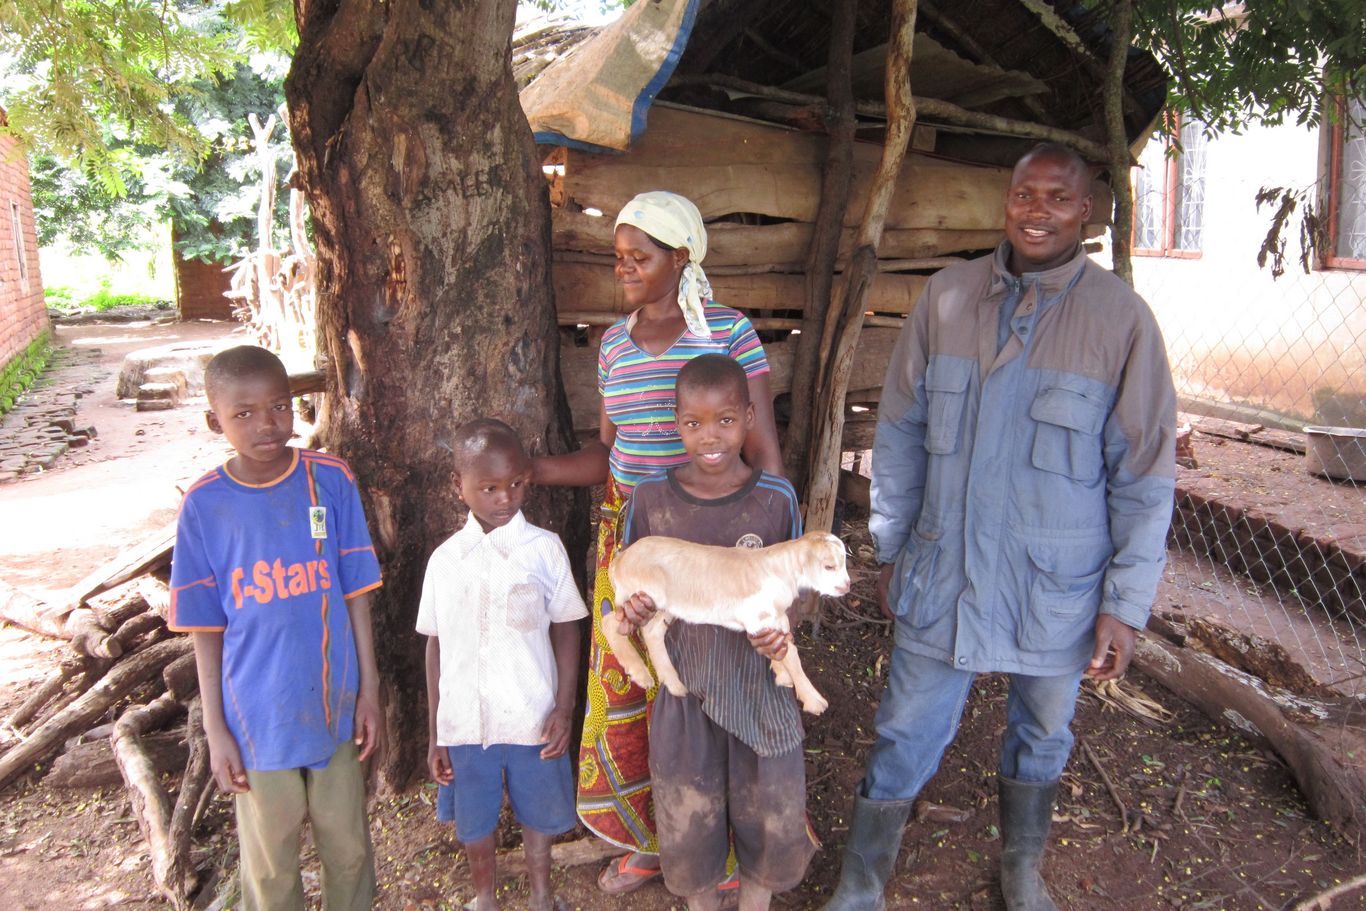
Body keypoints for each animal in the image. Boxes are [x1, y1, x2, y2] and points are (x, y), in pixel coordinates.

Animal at [606, 529, 846, 715]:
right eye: (829, 566)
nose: (846, 586)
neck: (781, 570)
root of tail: (620, 560)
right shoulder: (758, 617)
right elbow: (791, 654)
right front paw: (814, 700)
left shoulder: (777, 616)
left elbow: (786, 645)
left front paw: (782, 674)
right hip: (640, 594)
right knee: (610, 623)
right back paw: (639, 672)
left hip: (665, 606)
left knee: (651, 633)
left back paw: (674, 684)